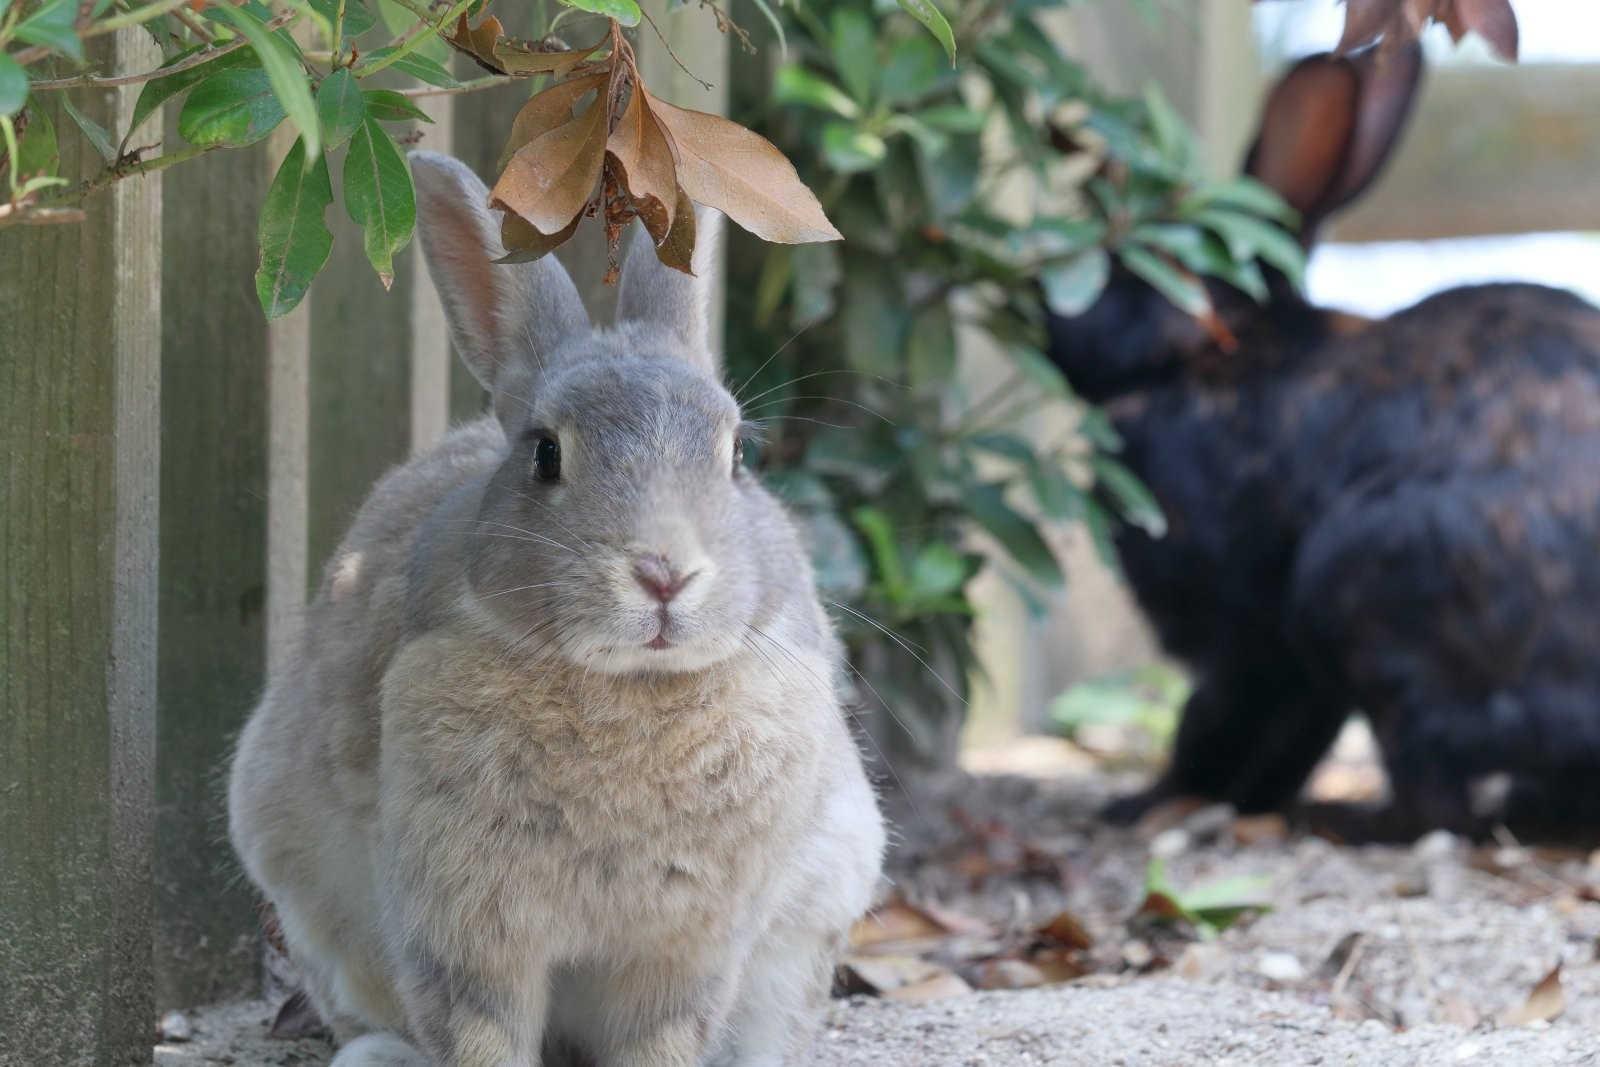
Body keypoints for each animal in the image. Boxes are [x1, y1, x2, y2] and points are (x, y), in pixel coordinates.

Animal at [228, 151, 889, 1067]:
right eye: (545, 454)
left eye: (738, 454)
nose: (663, 572)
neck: (625, 688)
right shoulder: (463, 925)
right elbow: (479, 1029)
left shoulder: (686, 947)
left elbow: (661, 1037)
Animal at [1049, 43, 1600, 844]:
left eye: (1125, 268)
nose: (1042, 306)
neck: (1217, 354)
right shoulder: (1292, 673)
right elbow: (1286, 738)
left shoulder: (1244, 633)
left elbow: (1214, 720)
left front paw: (1149, 803)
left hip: (1357, 592)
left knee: (1435, 802)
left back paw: (1351, 821)